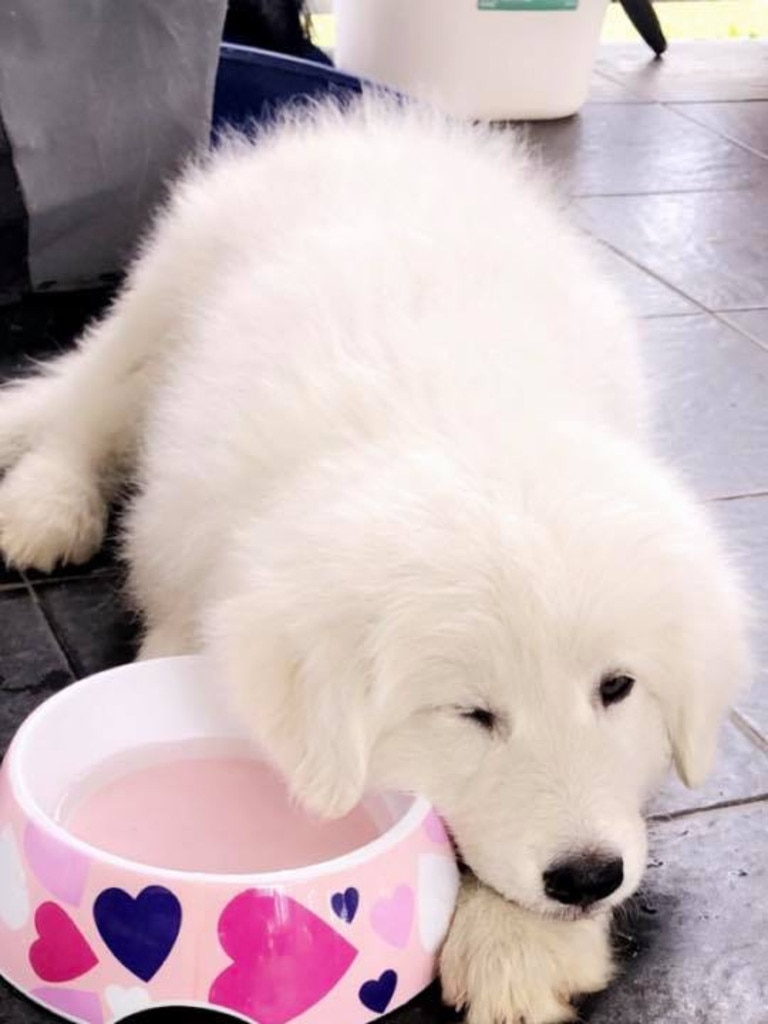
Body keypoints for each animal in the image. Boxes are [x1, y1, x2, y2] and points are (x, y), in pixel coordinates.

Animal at [0, 97, 753, 1024]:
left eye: (617, 688)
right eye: (471, 714)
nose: (585, 878)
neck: (451, 416)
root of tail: (360, 124)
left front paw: (520, 945)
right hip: (153, 319)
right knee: (84, 414)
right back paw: (44, 507)